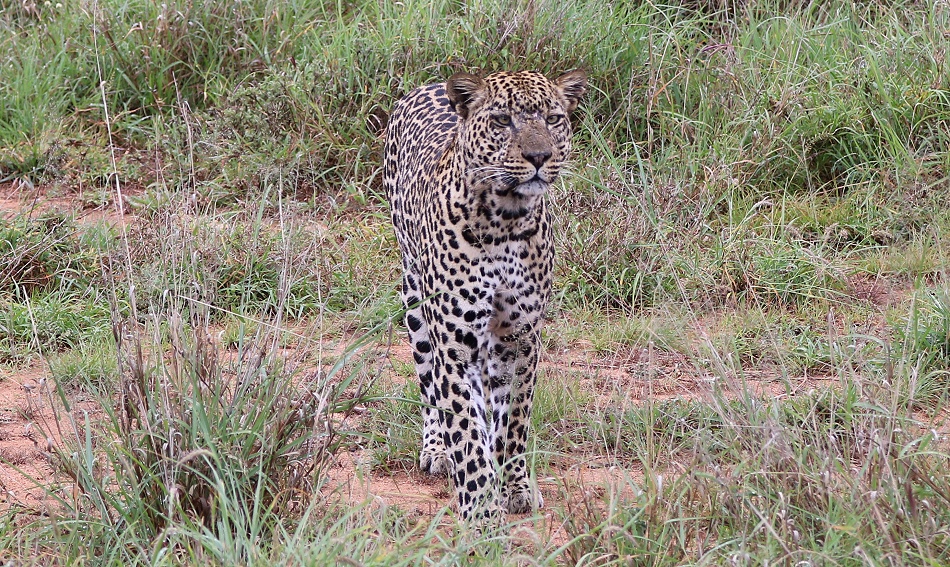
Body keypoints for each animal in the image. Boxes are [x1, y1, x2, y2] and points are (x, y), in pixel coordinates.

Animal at [382, 69, 586, 523]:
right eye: (502, 121)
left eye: (553, 119)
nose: (539, 156)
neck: (506, 220)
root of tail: (430, 84)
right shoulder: (455, 344)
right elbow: (466, 431)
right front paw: (480, 509)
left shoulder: (520, 339)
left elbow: (513, 421)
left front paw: (515, 487)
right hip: (415, 302)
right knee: (429, 385)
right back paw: (436, 449)